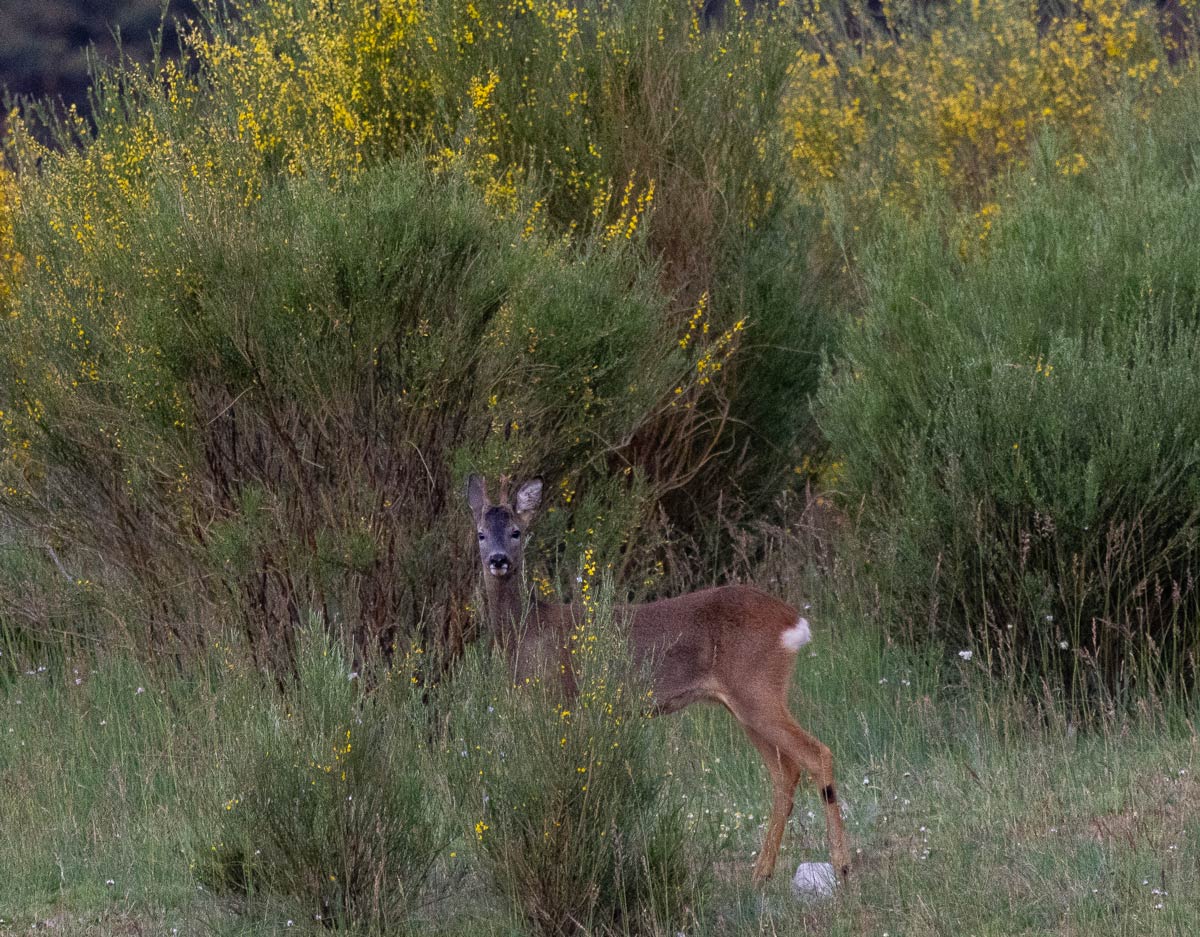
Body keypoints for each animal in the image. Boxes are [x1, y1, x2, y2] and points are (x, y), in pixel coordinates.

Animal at [468, 475, 854, 883]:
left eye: (516, 531)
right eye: (480, 533)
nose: (498, 560)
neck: (528, 631)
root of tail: (793, 621)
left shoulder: (561, 700)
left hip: (757, 690)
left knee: (817, 754)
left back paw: (841, 865)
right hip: (745, 703)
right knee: (785, 773)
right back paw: (760, 874)